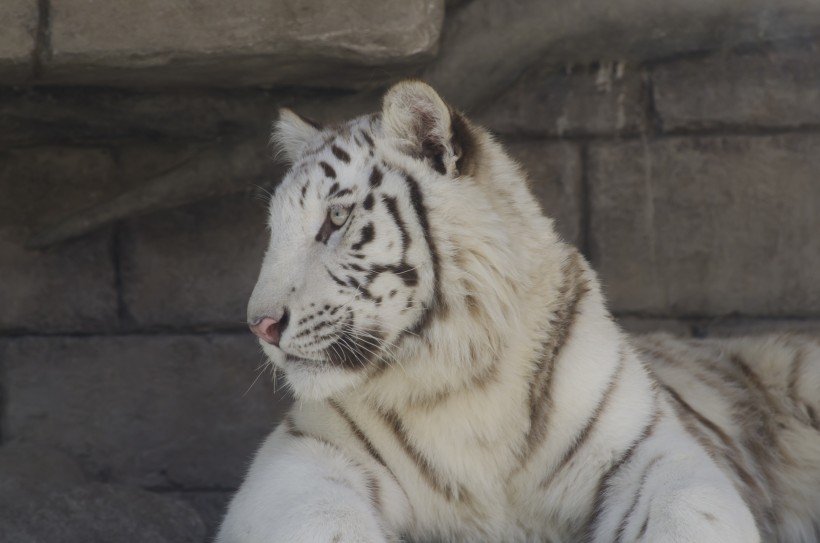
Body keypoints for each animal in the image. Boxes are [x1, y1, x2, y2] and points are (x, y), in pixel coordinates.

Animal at [218, 78, 820, 540]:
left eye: (336, 220)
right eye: (275, 231)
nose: (260, 326)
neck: (465, 379)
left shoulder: (652, 453)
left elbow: (687, 514)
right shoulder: (303, 456)